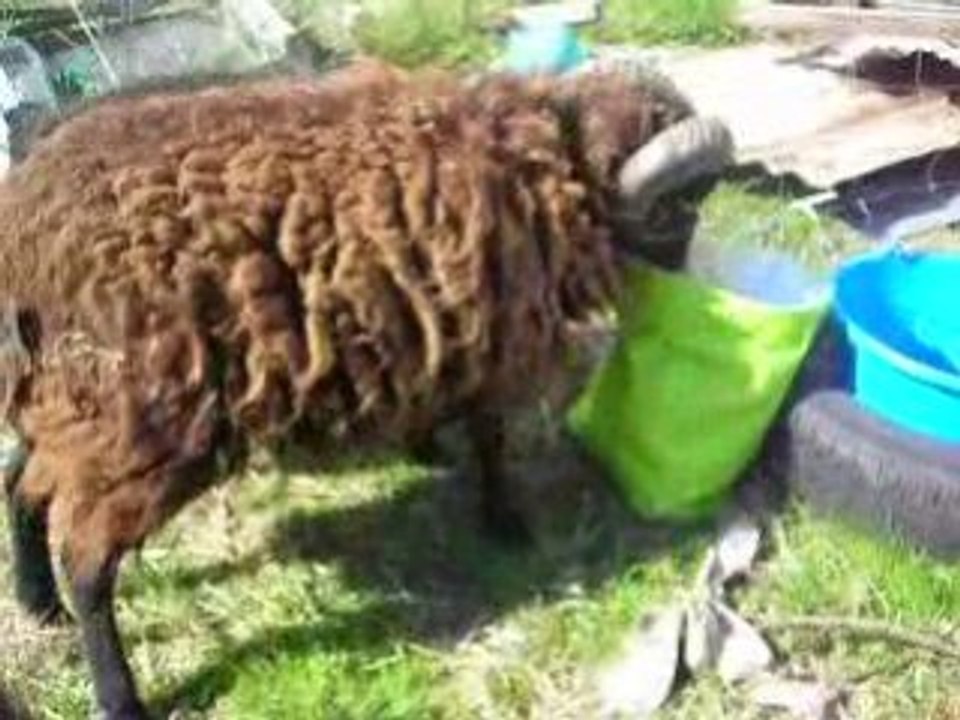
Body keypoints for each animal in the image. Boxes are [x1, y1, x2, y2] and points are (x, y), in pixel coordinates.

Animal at [0, 59, 733, 720]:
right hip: (148, 421)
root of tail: (22, 239)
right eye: (681, 206)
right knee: (86, 559)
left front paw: (427, 451)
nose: (688, 281)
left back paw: (39, 604)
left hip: (70, 402)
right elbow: (491, 438)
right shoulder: (491, 346)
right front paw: (506, 523)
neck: (542, 162)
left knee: (20, 483)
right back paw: (117, 694)